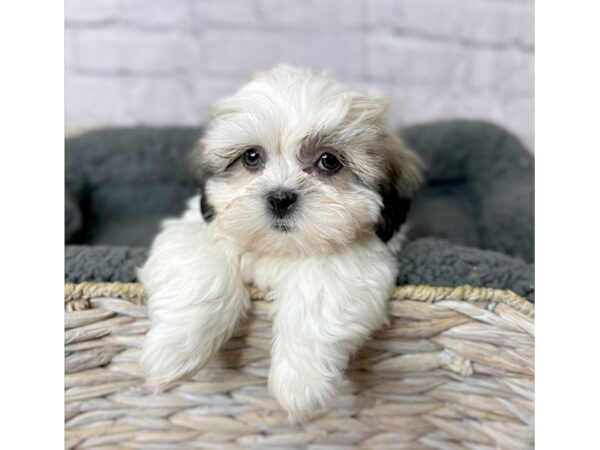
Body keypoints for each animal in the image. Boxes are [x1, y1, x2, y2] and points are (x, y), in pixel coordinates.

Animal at [139, 64, 422, 422]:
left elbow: (319, 297)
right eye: (251, 157)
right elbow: (201, 272)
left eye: (329, 161)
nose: (281, 197)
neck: (278, 248)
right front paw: (172, 354)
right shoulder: (195, 231)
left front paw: (301, 384)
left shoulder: (353, 260)